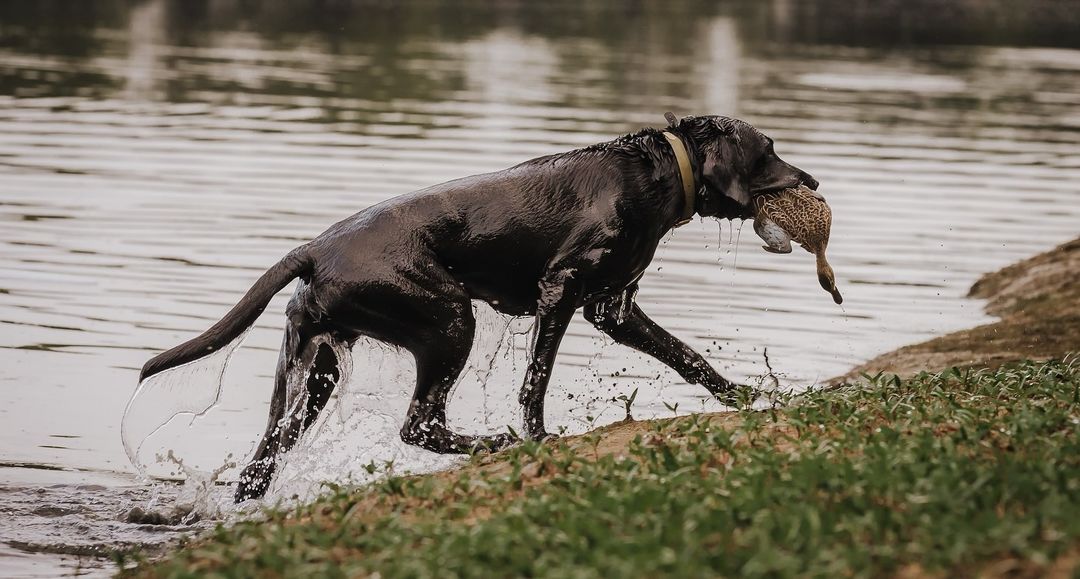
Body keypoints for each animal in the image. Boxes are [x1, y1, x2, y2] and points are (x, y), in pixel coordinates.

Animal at [138, 113, 818, 501]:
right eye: (769, 149)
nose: (812, 179)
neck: (656, 169)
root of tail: (315, 248)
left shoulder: (612, 310)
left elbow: (688, 357)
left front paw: (747, 396)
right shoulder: (561, 290)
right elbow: (536, 381)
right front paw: (537, 438)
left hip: (311, 369)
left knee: (262, 464)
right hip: (449, 319)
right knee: (418, 424)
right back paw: (495, 442)